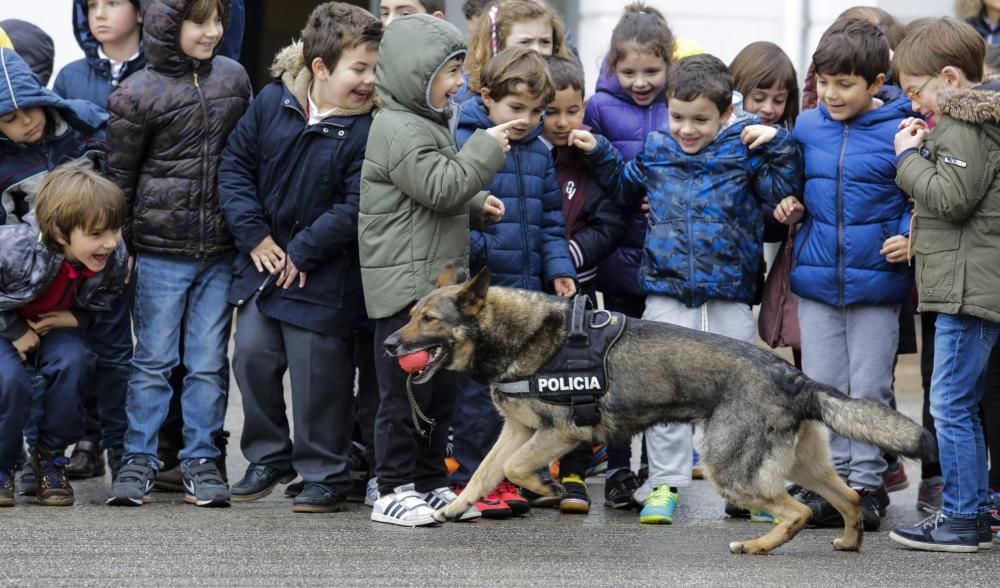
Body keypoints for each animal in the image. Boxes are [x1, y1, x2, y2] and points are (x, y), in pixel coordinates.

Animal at [384, 268, 936, 552]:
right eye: (412, 315)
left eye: (428, 319)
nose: (389, 345)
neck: (518, 335)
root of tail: (792, 376)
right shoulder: (519, 430)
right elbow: (484, 471)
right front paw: (456, 506)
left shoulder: (561, 434)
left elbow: (517, 468)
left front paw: (546, 488)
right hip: (805, 466)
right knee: (848, 498)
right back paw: (847, 541)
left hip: (727, 467)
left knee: (797, 510)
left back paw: (759, 546)